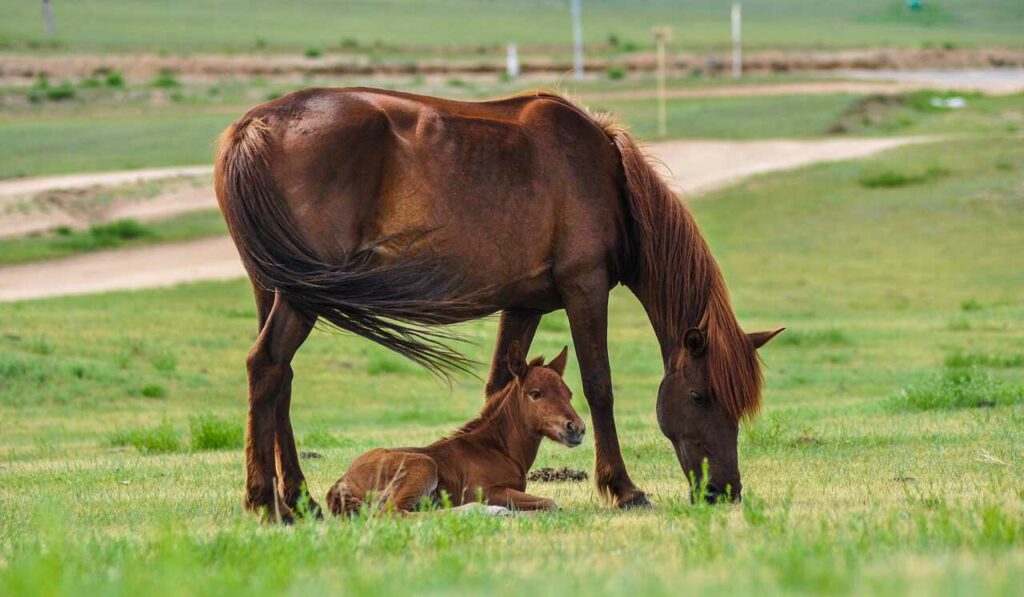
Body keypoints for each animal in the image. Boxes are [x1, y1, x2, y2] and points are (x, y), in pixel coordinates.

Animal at [327, 346, 585, 518]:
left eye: (569, 394)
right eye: (535, 393)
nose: (577, 429)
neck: (497, 448)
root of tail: (341, 484)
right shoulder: (485, 490)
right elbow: (550, 503)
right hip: (423, 466)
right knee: (395, 514)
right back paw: (486, 511)